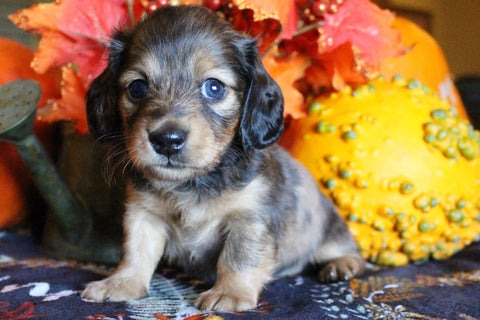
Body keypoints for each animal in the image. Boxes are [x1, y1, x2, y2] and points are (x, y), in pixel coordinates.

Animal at [82, 3, 366, 312]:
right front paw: (120, 283)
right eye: (137, 88)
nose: (167, 140)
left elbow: (238, 258)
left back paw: (342, 265)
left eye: (214, 87)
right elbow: (136, 251)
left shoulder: (250, 217)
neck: (194, 182)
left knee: (349, 251)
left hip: (329, 229)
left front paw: (229, 293)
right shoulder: (143, 213)